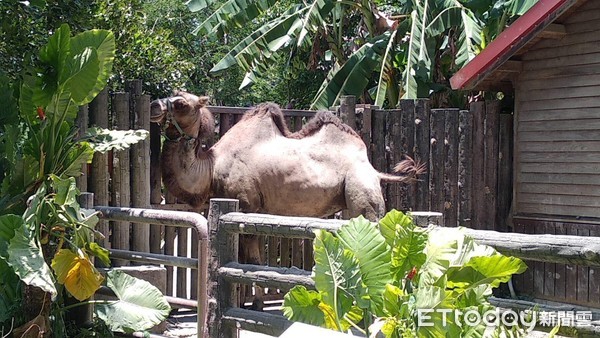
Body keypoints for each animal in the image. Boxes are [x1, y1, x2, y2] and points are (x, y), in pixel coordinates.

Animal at [148, 92, 424, 306]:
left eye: (181, 102)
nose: (154, 105)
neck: (211, 167)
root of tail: (374, 170)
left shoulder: (246, 206)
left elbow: (253, 261)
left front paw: (256, 305)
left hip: (364, 196)